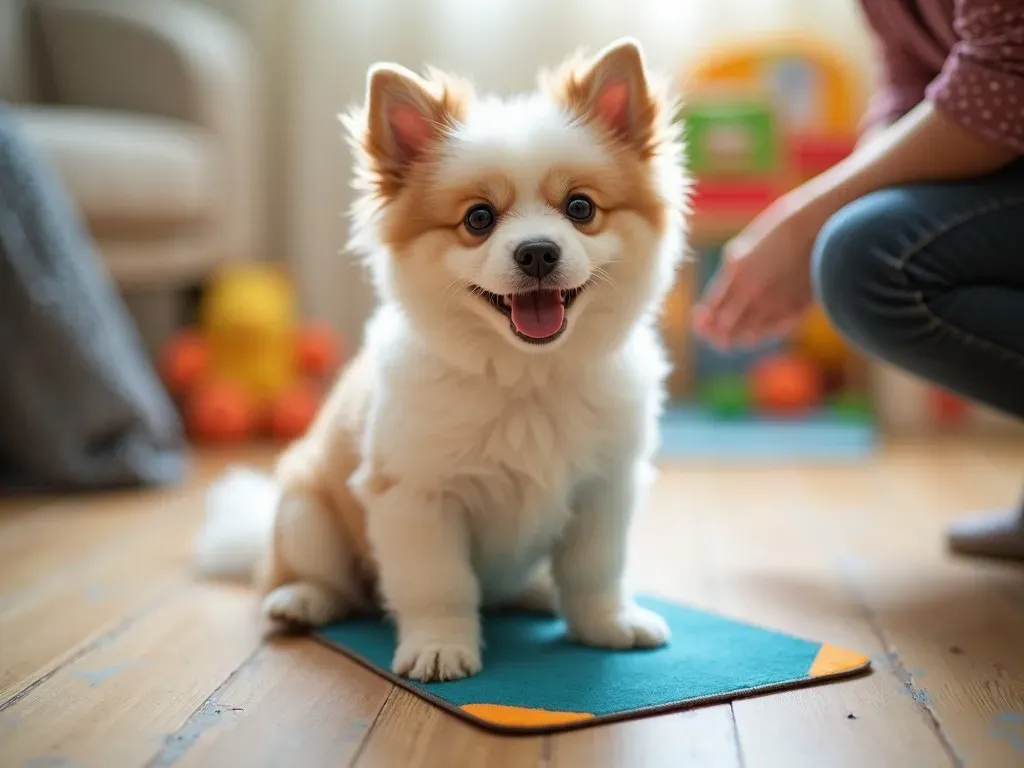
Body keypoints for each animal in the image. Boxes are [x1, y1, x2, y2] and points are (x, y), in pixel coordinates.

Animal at [193, 39, 688, 684]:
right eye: (479, 219)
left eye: (580, 208)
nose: (537, 251)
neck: (526, 374)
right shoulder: (415, 497)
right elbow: (438, 586)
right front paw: (440, 647)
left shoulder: (604, 488)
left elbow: (595, 571)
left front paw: (607, 624)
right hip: (305, 514)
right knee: (318, 580)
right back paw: (301, 600)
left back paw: (536, 591)